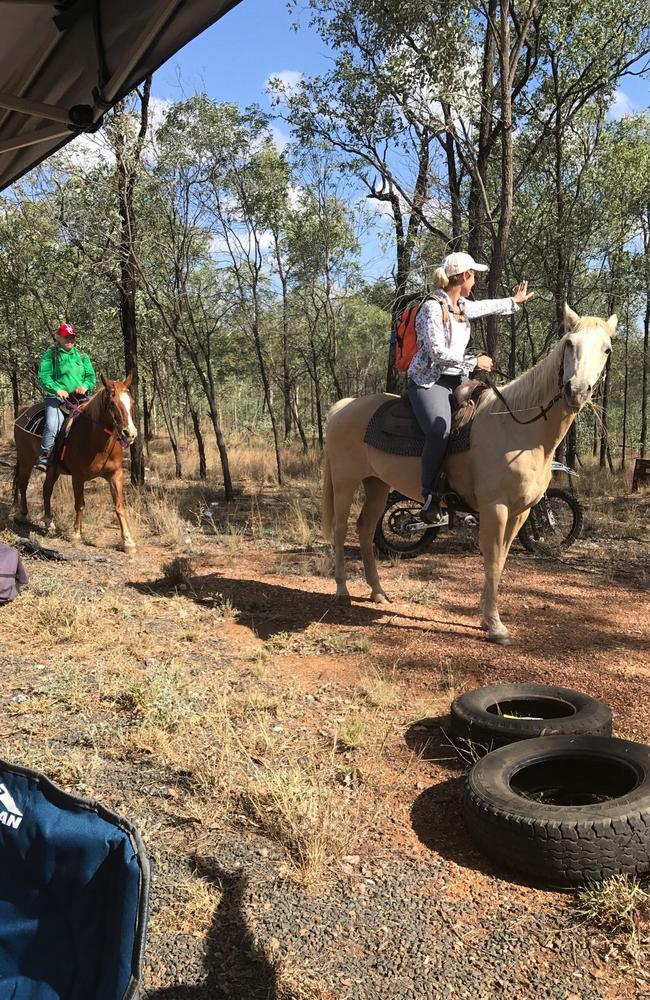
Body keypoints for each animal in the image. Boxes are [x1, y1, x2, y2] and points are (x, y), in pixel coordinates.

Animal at [14, 376, 138, 552]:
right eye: (112, 403)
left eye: (132, 402)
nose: (130, 433)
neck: (98, 442)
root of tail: (22, 413)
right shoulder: (78, 477)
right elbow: (80, 504)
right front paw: (77, 535)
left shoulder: (116, 475)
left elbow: (119, 506)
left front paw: (128, 541)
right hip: (26, 459)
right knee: (23, 483)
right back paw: (22, 514)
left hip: (53, 469)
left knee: (46, 490)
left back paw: (48, 522)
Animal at [322, 304, 616, 644]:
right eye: (569, 344)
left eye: (606, 349)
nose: (577, 391)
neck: (517, 428)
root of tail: (342, 407)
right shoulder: (494, 508)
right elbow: (491, 558)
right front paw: (495, 624)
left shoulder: (520, 512)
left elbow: (501, 560)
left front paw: (486, 618)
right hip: (345, 482)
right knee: (340, 529)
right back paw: (342, 591)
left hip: (377, 484)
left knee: (366, 528)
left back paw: (378, 592)